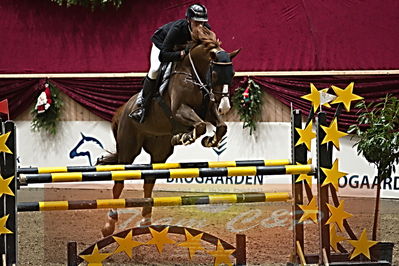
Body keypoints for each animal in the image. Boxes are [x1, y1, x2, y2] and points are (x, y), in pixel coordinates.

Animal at [100, 26, 241, 237]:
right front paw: (186, 137)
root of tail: (123, 109)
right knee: (119, 181)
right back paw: (109, 224)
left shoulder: (208, 110)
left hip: (160, 150)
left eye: (232, 75)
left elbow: (220, 126)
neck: (193, 73)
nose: (225, 107)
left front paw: (207, 140)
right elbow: (199, 126)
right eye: (215, 74)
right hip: (128, 148)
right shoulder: (180, 110)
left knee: (149, 179)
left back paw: (146, 220)